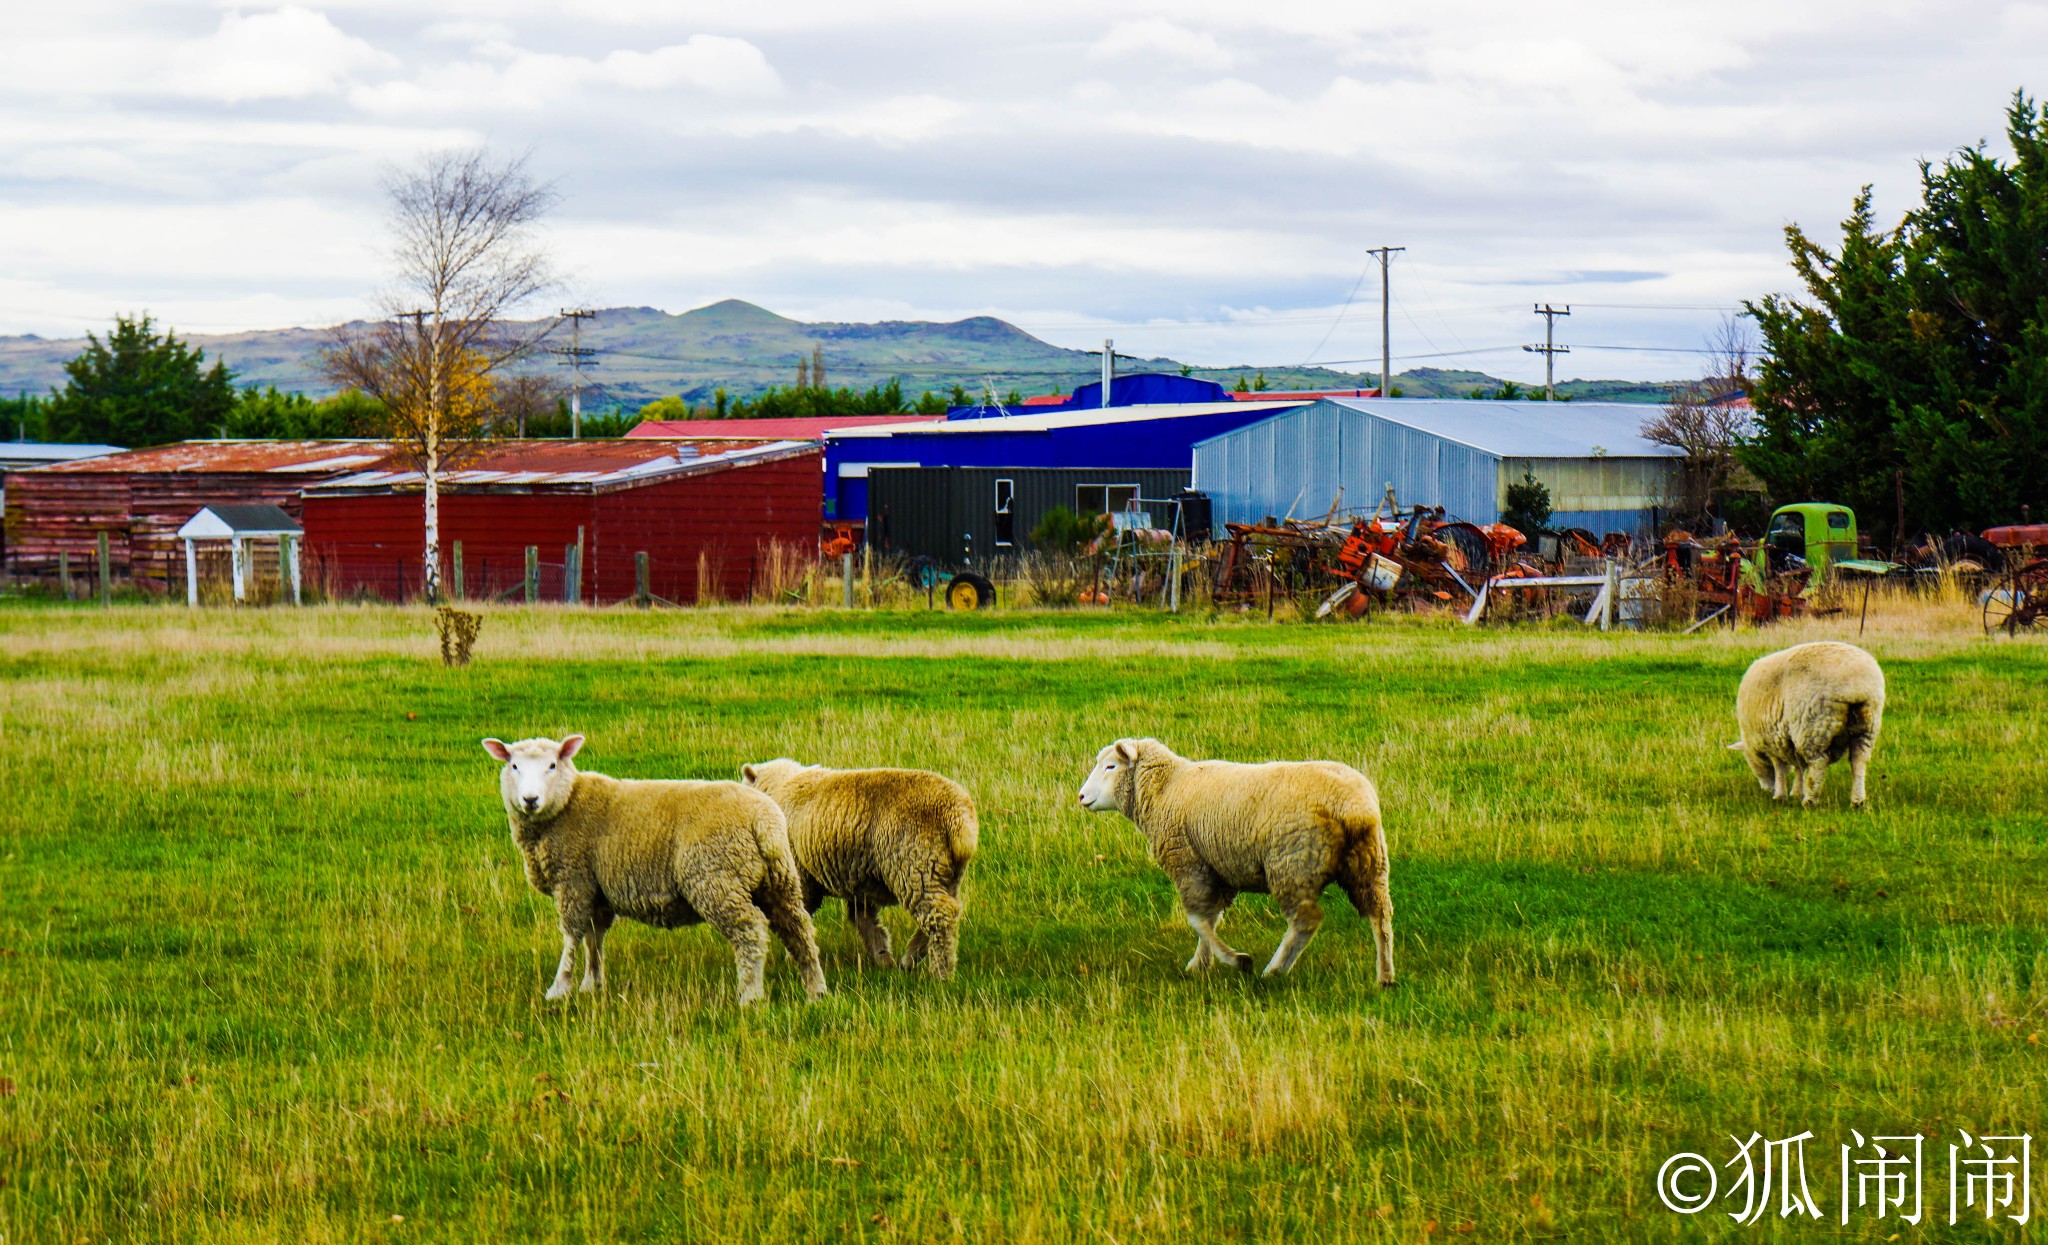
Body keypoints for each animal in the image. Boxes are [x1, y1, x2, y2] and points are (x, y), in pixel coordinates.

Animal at [483, 733, 827, 1007]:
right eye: (514, 766)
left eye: (552, 765)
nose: (530, 799)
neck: (569, 803)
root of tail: (762, 819)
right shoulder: (596, 889)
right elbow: (594, 938)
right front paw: (591, 985)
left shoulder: (573, 880)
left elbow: (571, 936)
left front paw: (559, 988)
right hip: (779, 878)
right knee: (799, 929)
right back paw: (816, 991)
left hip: (716, 878)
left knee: (750, 932)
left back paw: (749, 997)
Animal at [741, 757, 978, 982]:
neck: (779, 787)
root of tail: (959, 818)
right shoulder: (858, 883)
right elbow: (865, 921)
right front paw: (883, 958)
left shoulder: (800, 874)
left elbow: (798, 918)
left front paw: (796, 958)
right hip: (945, 873)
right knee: (944, 913)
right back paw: (909, 960)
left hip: (914, 864)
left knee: (940, 915)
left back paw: (941, 974)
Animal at [1073, 733, 1392, 986]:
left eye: (1111, 766)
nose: (1081, 796)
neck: (1166, 789)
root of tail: (1353, 808)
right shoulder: (1218, 869)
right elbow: (1211, 918)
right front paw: (1201, 963)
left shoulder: (1189, 863)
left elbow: (1198, 919)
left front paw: (1235, 960)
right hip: (1368, 862)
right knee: (1380, 914)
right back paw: (1385, 976)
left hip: (1292, 863)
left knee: (1306, 921)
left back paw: (1274, 971)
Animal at [1728, 638, 1884, 810]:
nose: (1766, 789)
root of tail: (1856, 687)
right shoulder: (1788, 738)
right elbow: (1799, 766)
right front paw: (1796, 791)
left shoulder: (1773, 739)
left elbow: (1780, 768)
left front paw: (1780, 795)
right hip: (1867, 727)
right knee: (1859, 761)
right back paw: (1857, 801)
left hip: (1813, 726)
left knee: (1818, 763)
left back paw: (1810, 800)